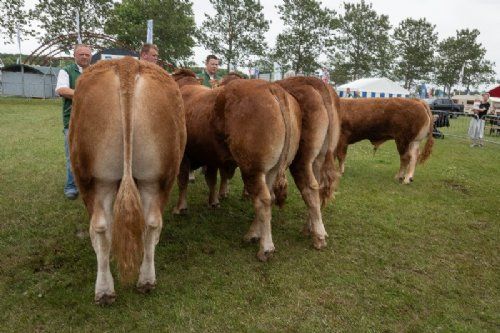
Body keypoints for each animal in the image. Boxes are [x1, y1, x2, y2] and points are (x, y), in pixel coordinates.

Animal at [69, 57, 187, 304]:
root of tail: (127, 63)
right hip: (159, 176)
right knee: (151, 223)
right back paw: (146, 281)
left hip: (93, 179)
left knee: (100, 227)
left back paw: (104, 290)